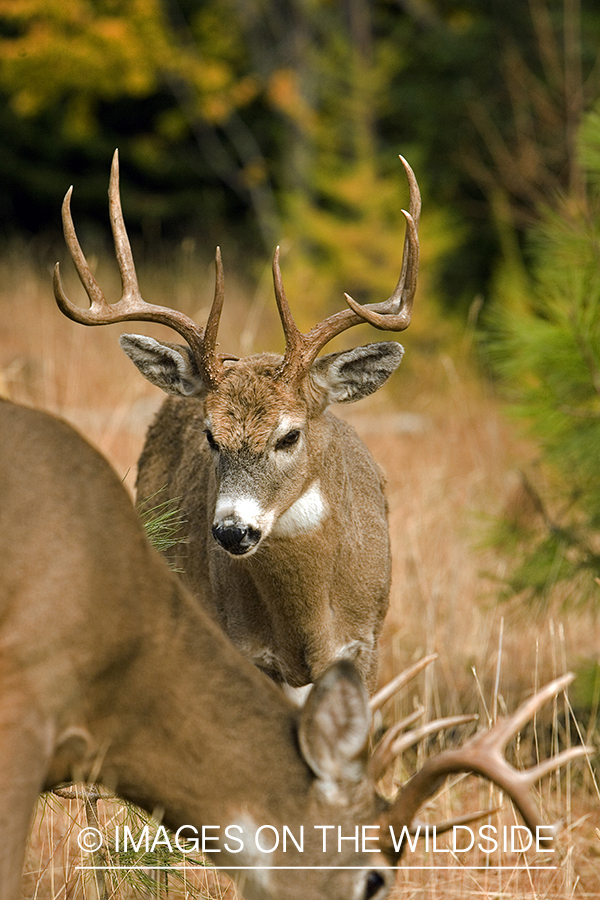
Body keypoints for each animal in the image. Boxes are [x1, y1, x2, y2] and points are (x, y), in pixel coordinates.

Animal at [54, 151, 422, 692]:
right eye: (210, 436)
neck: (307, 621)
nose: (233, 532)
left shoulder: (364, 645)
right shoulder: (246, 648)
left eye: (290, 435)